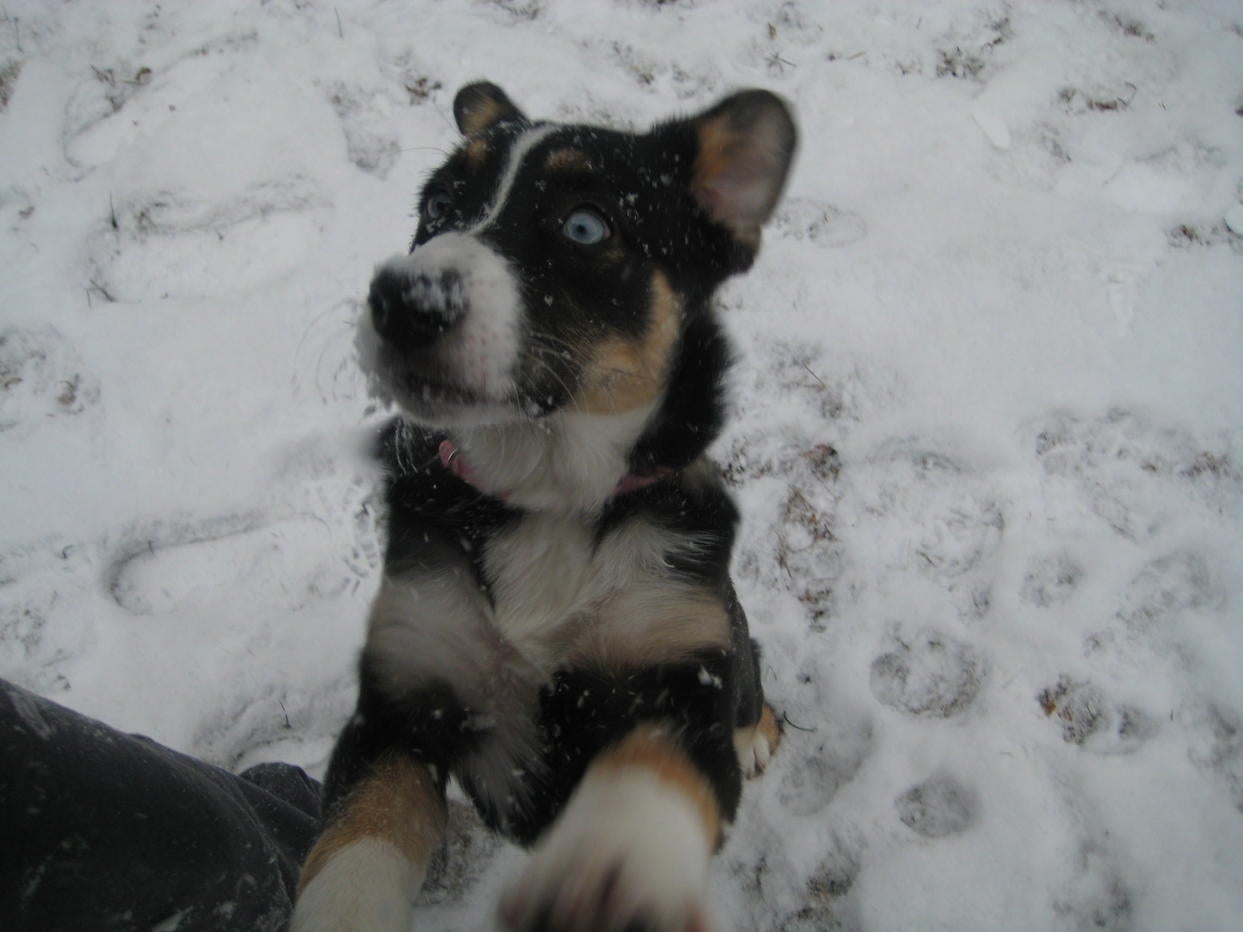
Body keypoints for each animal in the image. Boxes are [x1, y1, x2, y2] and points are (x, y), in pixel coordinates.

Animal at [290, 82, 795, 932]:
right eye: (437, 208)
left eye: (584, 225)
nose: (400, 300)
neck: (545, 496)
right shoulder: (401, 694)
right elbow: (359, 836)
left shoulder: (677, 667)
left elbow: (650, 769)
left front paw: (609, 877)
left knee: (749, 669)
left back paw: (756, 731)